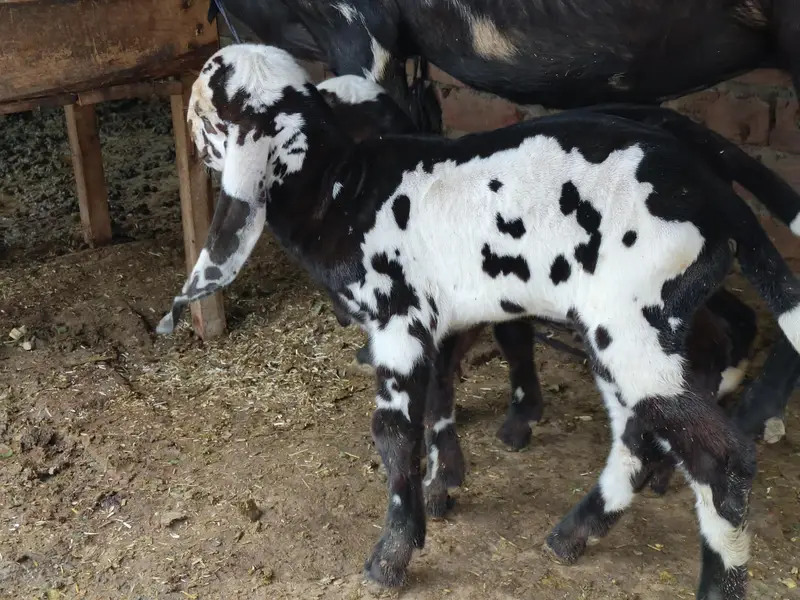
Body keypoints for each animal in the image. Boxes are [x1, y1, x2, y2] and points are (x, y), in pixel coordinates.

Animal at [159, 45, 800, 599]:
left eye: (203, 110)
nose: (190, 143)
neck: (342, 189)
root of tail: (718, 197)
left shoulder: (400, 320)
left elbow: (393, 433)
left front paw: (394, 552)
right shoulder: (442, 320)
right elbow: (439, 402)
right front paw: (442, 487)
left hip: (632, 325)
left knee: (721, 458)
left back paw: (713, 577)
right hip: (630, 332)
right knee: (642, 432)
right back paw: (576, 531)